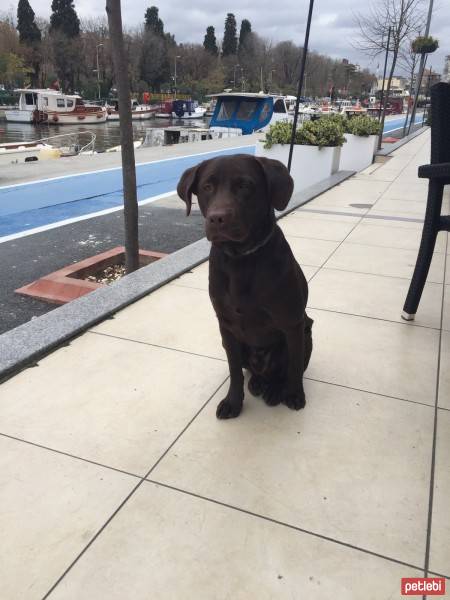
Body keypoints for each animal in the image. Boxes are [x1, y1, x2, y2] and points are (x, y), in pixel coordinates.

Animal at [177, 152, 312, 420]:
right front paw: (233, 402)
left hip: (307, 331)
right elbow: (234, 372)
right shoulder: (226, 327)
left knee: (287, 369)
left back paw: (275, 390)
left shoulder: (292, 323)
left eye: (245, 185)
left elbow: (293, 367)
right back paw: (258, 383)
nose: (217, 218)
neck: (241, 259)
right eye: (207, 187)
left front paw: (294, 394)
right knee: (251, 372)